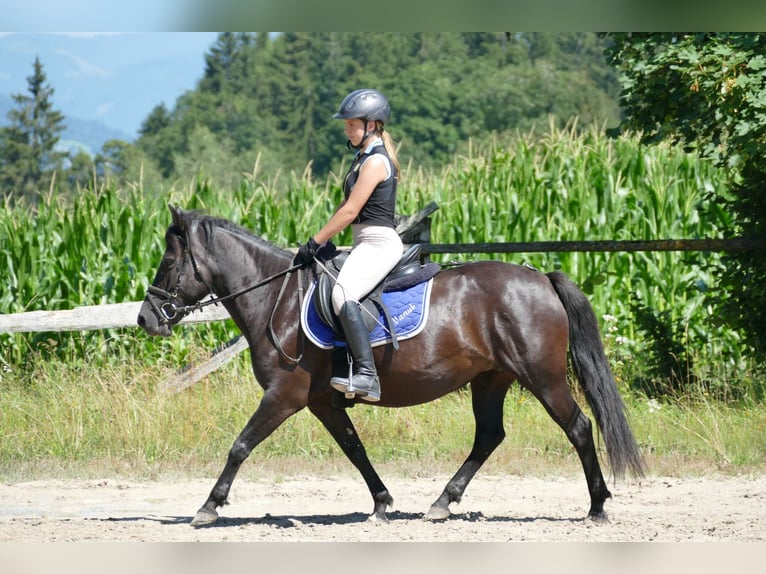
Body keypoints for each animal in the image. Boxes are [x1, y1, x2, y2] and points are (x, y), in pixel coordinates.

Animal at [138, 205, 648, 528]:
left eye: (169, 260)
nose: (146, 319)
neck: (276, 301)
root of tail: (541, 277)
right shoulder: (322, 401)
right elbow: (354, 449)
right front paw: (382, 503)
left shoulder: (285, 395)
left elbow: (240, 446)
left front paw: (208, 507)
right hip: (491, 379)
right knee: (488, 436)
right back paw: (442, 503)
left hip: (542, 377)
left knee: (578, 427)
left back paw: (597, 506)